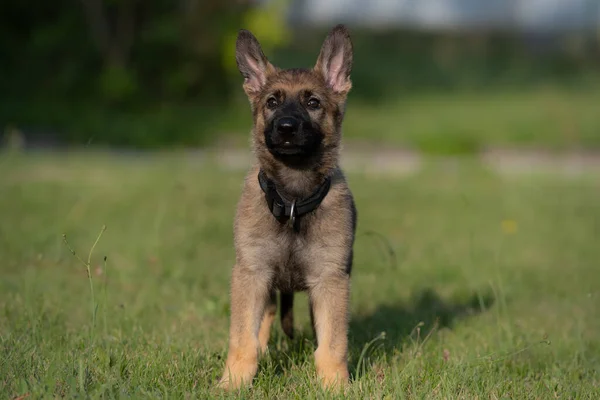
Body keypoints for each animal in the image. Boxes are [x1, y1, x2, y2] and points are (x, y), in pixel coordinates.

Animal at [219, 23, 356, 390]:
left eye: (312, 102)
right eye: (271, 102)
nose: (286, 128)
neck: (293, 200)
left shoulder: (330, 280)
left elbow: (332, 343)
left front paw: (334, 385)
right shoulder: (251, 274)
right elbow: (243, 338)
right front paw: (233, 382)